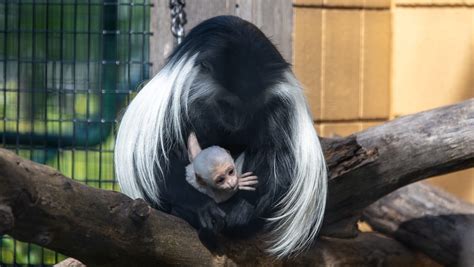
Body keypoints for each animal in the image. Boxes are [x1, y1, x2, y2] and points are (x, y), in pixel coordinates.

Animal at [115, 15, 326, 258]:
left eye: (251, 108)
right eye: (226, 104)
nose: (235, 123)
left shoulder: (279, 104)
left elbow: (278, 156)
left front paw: (244, 209)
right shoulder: (179, 97)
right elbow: (160, 155)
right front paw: (201, 207)